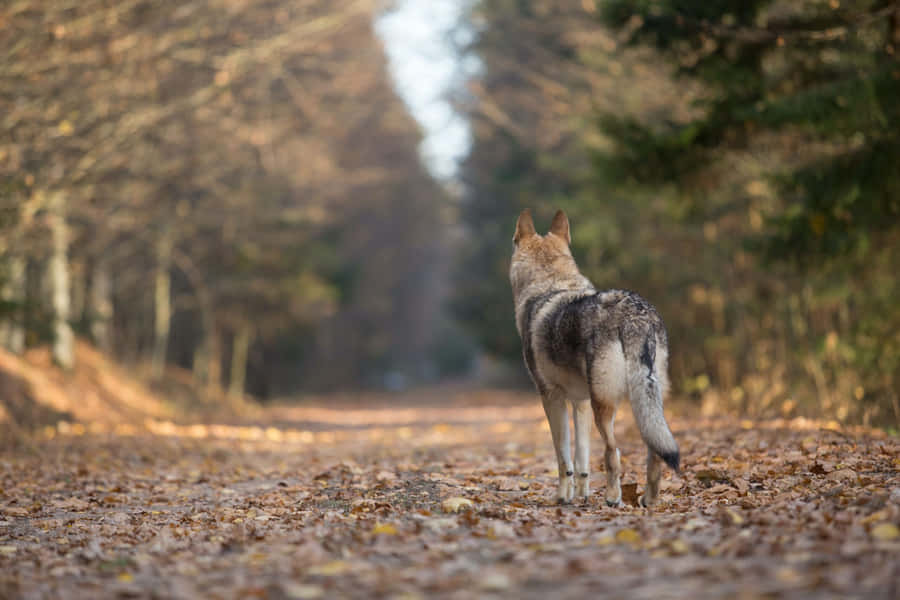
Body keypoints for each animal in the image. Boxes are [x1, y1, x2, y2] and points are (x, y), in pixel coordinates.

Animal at [510, 209, 679, 507]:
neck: (548, 286)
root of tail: (636, 315)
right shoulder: (581, 402)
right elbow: (582, 459)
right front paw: (582, 494)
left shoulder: (551, 398)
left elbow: (563, 457)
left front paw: (563, 497)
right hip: (648, 404)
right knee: (656, 453)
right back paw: (648, 500)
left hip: (606, 406)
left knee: (614, 453)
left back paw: (612, 498)